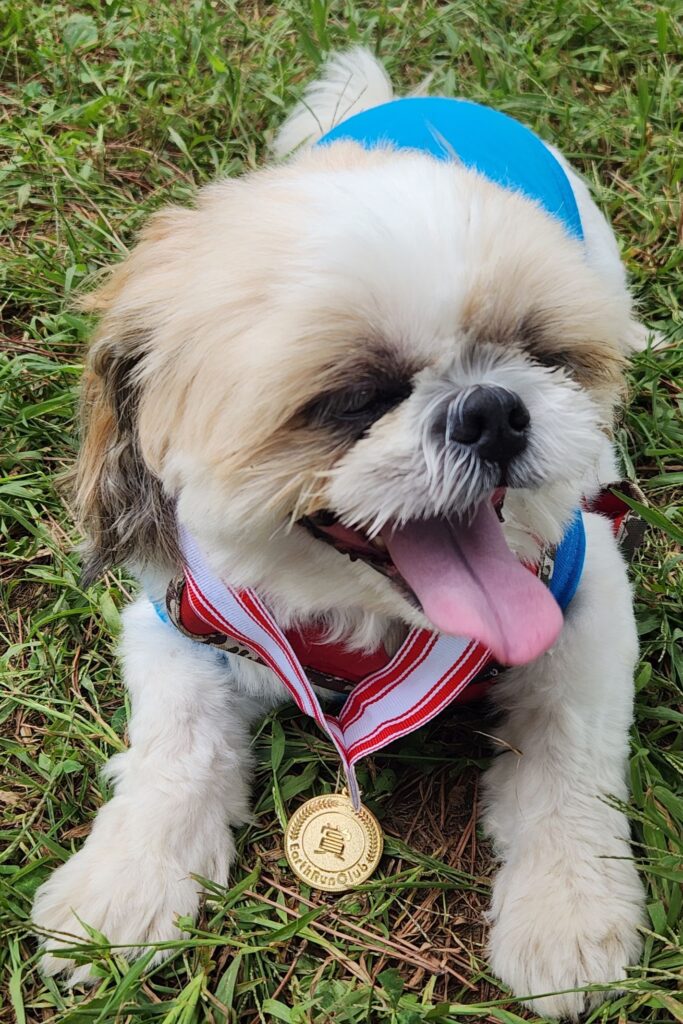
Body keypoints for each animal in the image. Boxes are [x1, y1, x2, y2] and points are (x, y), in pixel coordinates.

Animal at [33, 46, 651, 1015]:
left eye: (538, 352)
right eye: (355, 400)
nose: (493, 410)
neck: (367, 624)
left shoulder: (584, 597)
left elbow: (567, 761)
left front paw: (566, 913)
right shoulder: (175, 616)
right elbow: (174, 751)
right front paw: (123, 885)